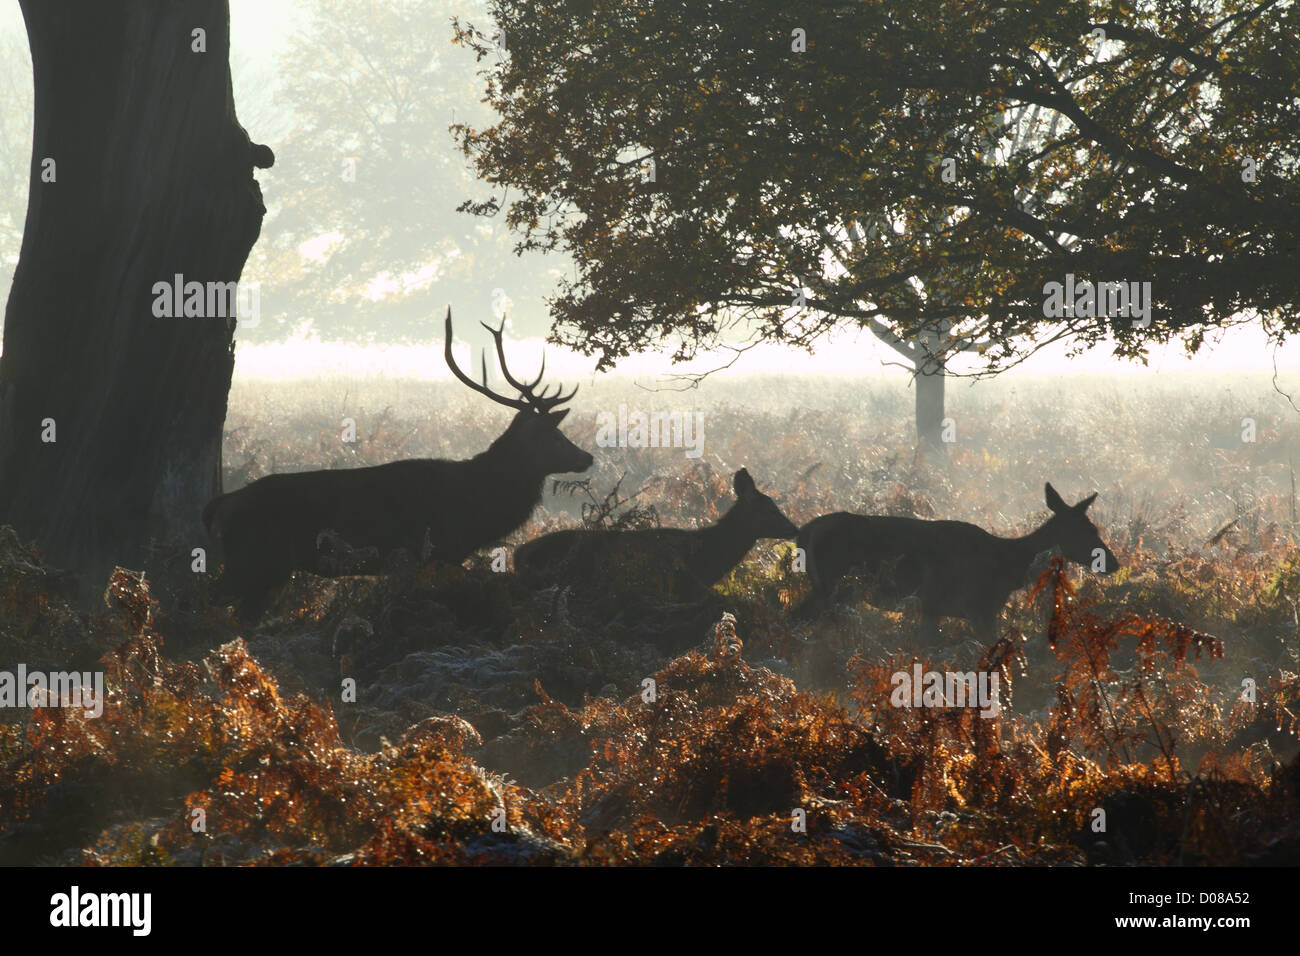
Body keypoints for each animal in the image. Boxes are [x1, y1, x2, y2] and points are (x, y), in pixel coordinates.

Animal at [202, 308, 595, 621]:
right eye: (555, 437)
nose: (587, 457)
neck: (478, 507)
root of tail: (222, 502)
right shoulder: (437, 551)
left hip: (266, 570)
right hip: (254, 559)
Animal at [795, 486, 1123, 642]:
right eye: (1089, 530)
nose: (1114, 563)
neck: (1008, 566)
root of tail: (805, 531)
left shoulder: (936, 608)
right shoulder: (976, 607)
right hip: (831, 583)